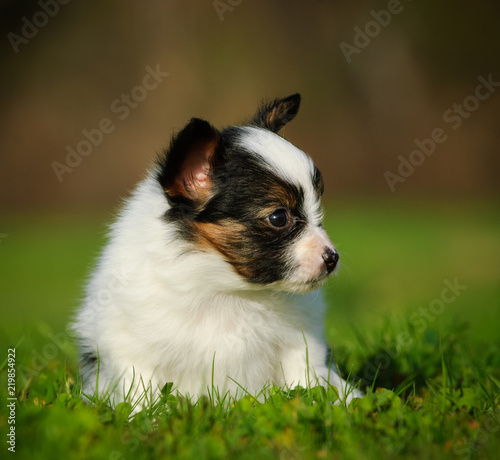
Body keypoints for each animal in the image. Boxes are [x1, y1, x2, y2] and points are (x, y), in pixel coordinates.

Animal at [74, 93, 362, 406]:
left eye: (317, 209)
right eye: (278, 217)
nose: (332, 258)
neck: (227, 288)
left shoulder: (299, 344)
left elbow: (307, 380)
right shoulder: (131, 348)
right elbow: (142, 392)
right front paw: (148, 416)